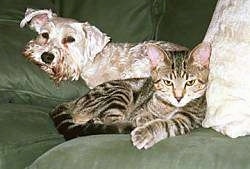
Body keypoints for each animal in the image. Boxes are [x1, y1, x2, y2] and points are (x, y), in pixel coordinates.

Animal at [50, 43, 211, 150]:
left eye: (190, 82)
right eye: (167, 82)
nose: (178, 97)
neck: (170, 107)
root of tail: (73, 102)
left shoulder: (187, 120)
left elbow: (165, 124)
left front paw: (146, 132)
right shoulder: (140, 109)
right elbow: (144, 115)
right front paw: (144, 120)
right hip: (122, 91)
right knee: (110, 120)